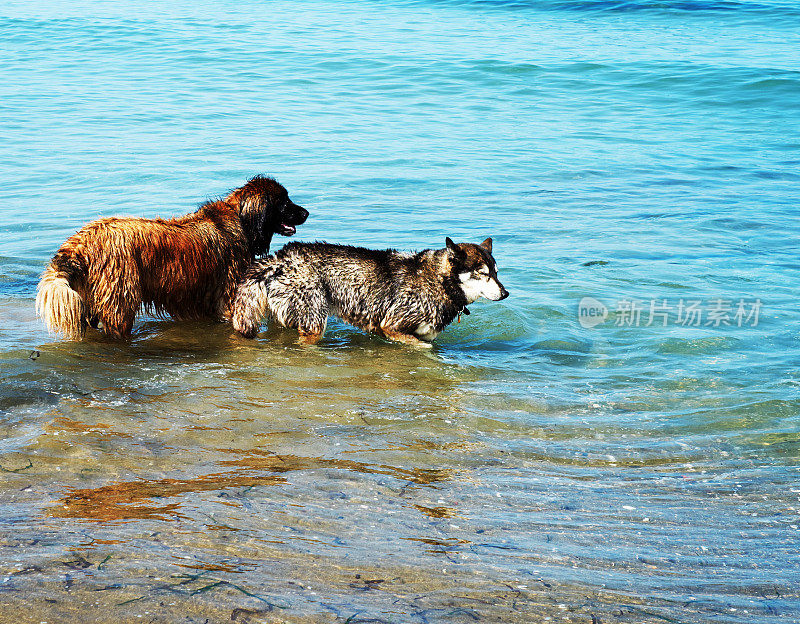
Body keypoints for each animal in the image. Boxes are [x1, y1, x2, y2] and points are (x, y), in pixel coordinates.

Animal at [36, 176, 308, 338]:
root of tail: (81, 242)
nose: (306, 212)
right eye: (284, 202)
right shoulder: (229, 293)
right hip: (121, 297)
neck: (241, 218)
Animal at [231, 238, 510, 346]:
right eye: (483, 273)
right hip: (315, 321)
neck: (440, 282)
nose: (505, 293)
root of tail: (279, 258)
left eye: (497, 272)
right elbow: (422, 347)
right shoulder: (391, 326)